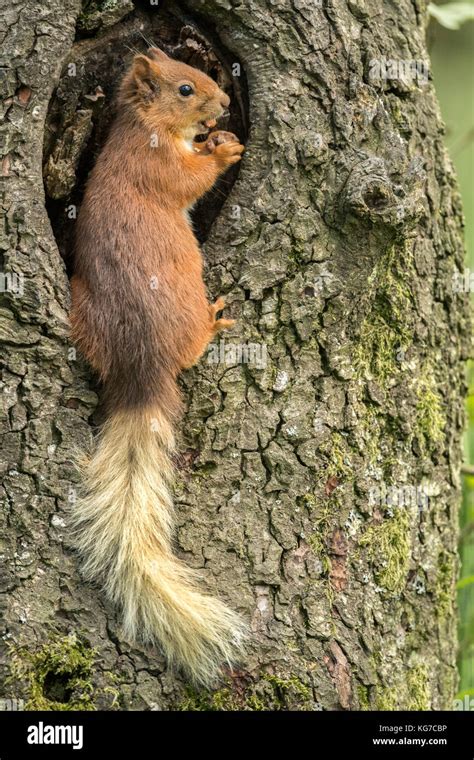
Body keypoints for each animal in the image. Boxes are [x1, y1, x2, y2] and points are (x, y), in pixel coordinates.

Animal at [71, 50, 248, 684]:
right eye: (185, 87)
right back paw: (216, 321)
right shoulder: (158, 166)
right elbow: (189, 180)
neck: (143, 128)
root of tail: (141, 369)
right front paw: (223, 148)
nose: (225, 102)